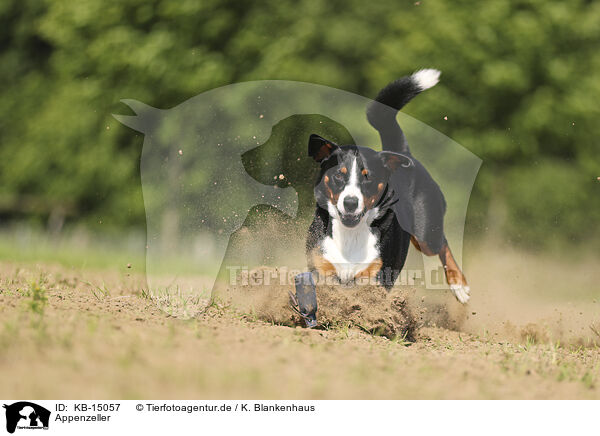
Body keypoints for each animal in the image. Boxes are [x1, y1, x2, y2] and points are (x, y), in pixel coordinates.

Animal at [304, 70, 468, 304]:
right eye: (338, 175)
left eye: (368, 178)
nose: (351, 203)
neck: (351, 234)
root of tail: (402, 153)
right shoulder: (322, 265)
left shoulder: (377, 276)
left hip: (426, 231)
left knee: (442, 243)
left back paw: (459, 285)